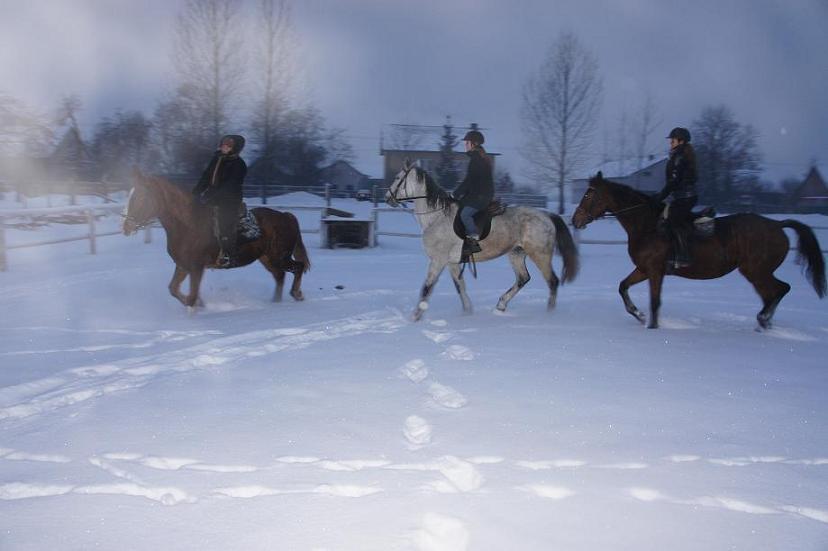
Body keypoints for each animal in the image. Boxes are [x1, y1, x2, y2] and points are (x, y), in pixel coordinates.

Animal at [119, 170, 308, 308]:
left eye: (141, 197)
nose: (126, 227)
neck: (189, 223)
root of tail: (286, 216)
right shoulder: (183, 265)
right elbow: (174, 289)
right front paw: (200, 304)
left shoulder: (197, 267)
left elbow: (191, 296)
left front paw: (197, 306)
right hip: (267, 258)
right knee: (280, 276)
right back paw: (275, 302)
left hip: (280, 257)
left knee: (298, 267)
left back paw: (297, 294)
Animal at [384, 162, 580, 322]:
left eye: (398, 178)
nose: (387, 197)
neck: (437, 217)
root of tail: (547, 215)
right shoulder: (452, 262)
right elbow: (460, 286)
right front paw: (467, 312)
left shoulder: (438, 261)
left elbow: (426, 288)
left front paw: (415, 317)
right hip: (516, 253)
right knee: (523, 278)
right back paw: (501, 305)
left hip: (540, 255)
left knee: (552, 281)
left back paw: (549, 315)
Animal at [572, 172, 824, 330]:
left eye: (589, 194)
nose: (575, 220)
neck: (647, 224)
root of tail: (777, 224)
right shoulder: (644, 269)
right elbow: (623, 287)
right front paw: (639, 314)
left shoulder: (654, 270)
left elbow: (655, 301)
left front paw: (652, 325)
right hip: (756, 273)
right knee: (772, 294)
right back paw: (764, 323)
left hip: (756, 271)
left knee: (781, 289)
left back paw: (763, 320)